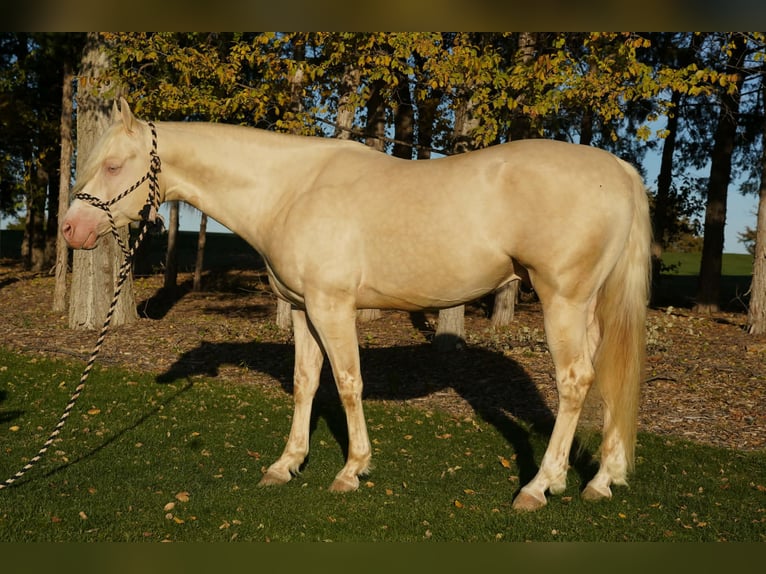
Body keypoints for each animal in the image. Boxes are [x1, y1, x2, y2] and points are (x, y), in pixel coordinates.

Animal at [61, 98, 651, 511]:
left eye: (112, 165)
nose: (71, 229)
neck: (290, 190)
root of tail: (622, 171)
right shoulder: (303, 310)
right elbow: (305, 382)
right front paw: (285, 464)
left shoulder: (332, 308)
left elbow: (347, 383)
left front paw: (351, 471)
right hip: (590, 308)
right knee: (606, 377)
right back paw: (601, 481)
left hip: (563, 301)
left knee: (574, 381)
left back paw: (539, 486)